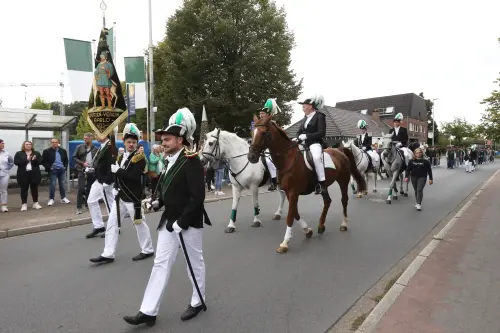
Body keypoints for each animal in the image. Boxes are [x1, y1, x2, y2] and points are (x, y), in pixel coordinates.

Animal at [248, 114, 366, 252]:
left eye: (263, 133)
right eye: (252, 133)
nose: (251, 157)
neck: (288, 159)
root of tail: (340, 150)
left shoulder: (293, 193)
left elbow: (290, 216)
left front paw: (284, 243)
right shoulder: (289, 193)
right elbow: (295, 213)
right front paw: (307, 230)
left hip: (343, 181)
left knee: (344, 200)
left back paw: (344, 224)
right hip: (323, 186)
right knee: (327, 201)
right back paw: (321, 226)